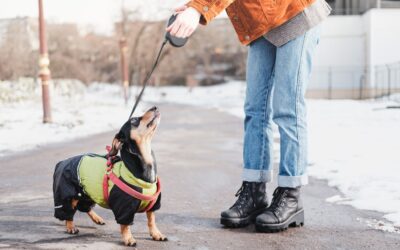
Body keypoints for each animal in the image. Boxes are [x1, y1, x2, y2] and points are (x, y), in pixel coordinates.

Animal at [52, 106, 166, 246]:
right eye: (134, 120)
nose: (155, 107)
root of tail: (62, 162)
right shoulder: (124, 208)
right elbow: (125, 225)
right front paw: (128, 238)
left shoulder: (153, 204)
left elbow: (151, 220)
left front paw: (156, 234)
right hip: (67, 196)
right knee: (68, 212)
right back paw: (70, 227)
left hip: (88, 194)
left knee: (84, 207)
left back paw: (97, 219)